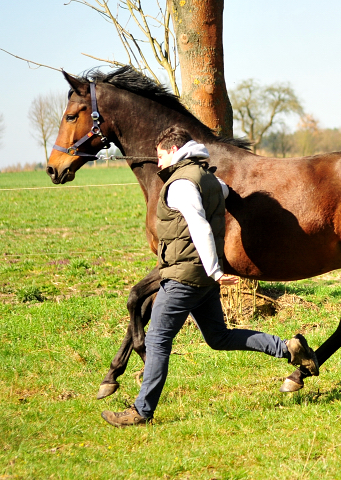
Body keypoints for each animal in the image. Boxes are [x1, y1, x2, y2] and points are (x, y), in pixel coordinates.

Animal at [47, 66, 340, 398]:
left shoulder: (177, 262)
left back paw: (298, 372)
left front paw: (141, 358)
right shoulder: (170, 264)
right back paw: (300, 369)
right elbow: (143, 307)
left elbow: (134, 299)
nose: (53, 168)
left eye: (71, 116)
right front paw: (112, 375)